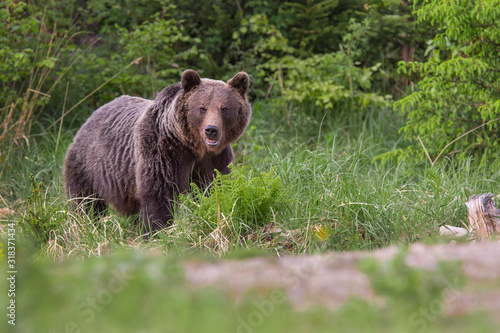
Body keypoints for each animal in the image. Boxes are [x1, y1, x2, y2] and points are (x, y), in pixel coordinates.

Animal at [63, 68, 250, 232]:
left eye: (225, 108)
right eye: (202, 108)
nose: (211, 130)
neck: (193, 146)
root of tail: (93, 115)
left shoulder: (214, 158)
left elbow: (216, 186)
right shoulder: (163, 151)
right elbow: (159, 193)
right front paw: (156, 231)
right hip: (89, 165)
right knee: (86, 201)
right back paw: (84, 226)